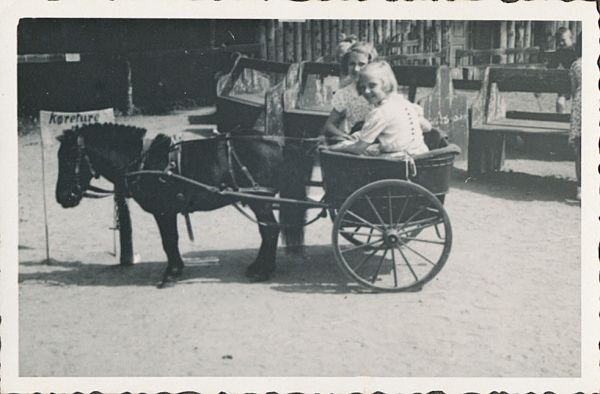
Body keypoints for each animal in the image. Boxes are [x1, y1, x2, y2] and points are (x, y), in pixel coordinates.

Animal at [54, 123, 308, 286]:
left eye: (68, 159)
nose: (62, 197)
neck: (145, 161)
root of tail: (277, 142)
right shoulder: (168, 212)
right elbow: (171, 240)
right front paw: (176, 268)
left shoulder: (163, 212)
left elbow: (169, 240)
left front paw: (172, 272)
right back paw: (261, 267)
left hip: (260, 202)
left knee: (270, 231)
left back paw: (261, 270)